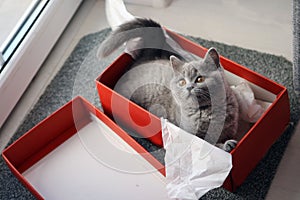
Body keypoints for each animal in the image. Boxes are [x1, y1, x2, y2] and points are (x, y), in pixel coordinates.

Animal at [99, 18, 239, 152]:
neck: (207, 112)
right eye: (182, 82)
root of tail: (145, 58)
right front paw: (227, 145)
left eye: (199, 79)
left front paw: (228, 143)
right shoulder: (192, 134)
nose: (189, 87)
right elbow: (210, 146)